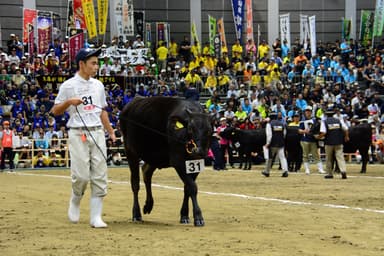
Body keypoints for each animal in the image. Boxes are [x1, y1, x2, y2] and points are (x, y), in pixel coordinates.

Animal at [119, 96, 212, 226]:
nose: (198, 150)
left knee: (146, 172)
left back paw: (148, 205)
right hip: (130, 151)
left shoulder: (195, 163)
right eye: (190, 129)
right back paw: (136, 214)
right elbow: (192, 187)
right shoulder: (178, 161)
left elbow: (187, 188)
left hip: (154, 156)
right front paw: (198, 217)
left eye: (209, 130)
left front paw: (184, 215)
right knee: (135, 183)